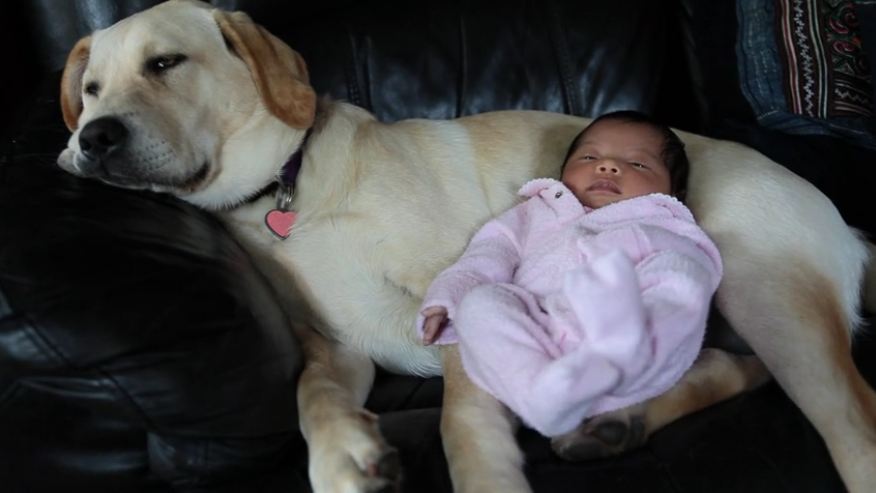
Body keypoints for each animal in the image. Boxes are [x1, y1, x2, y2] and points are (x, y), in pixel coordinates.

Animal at [56, 0, 876, 492]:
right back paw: (617, 423)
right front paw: (344, 458)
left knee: (852, 418)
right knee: (737, 369)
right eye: (90, 89)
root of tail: (848, 226)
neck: (285, 192)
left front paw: (486, 475)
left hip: (765, 290)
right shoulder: (338, 347)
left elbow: (460, 421)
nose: (91, 139)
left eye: (166, 63)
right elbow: (310, 395)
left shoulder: (459, 297)